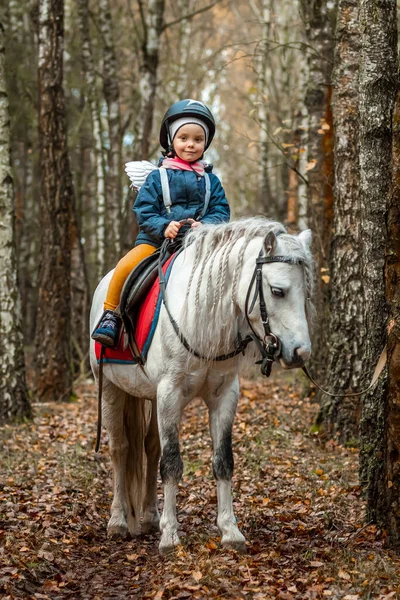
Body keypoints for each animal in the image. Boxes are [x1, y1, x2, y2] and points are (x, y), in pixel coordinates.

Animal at [90, 218, 312, 556]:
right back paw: (118, 521)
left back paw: (148, 517)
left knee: (149, 448)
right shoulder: (169, 393)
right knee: (120, 449)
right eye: (278, 291)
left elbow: (223, 461)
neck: (202, 316)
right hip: (112, 390)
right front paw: (170, 537)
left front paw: (230, 531)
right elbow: (171, 463)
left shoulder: (224, 396)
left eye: (306, 293)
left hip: (148, 396)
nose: (301, 353)